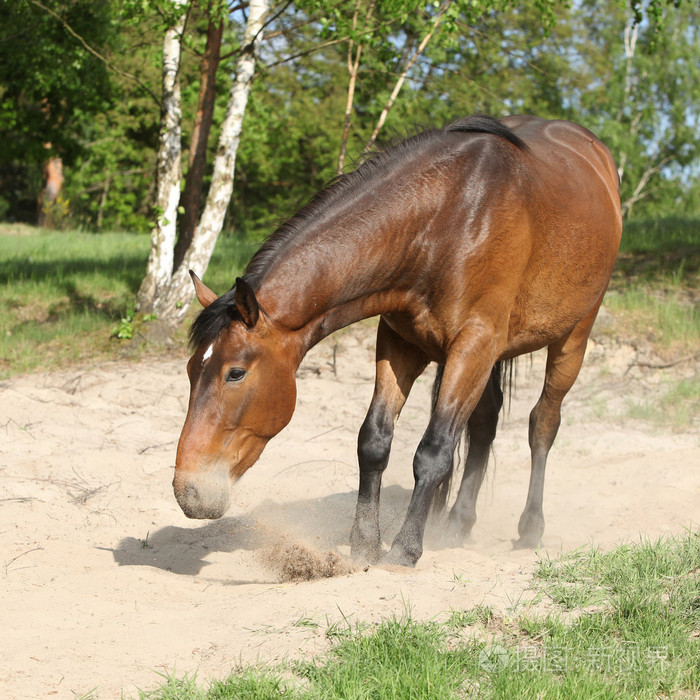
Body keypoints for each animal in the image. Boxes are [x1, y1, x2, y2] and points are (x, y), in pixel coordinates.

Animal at [174, 116, 616, 568]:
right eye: (191, 369)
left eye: (235, 373)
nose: (189, 492)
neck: (447, 220)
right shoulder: (401, 344)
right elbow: (373, 441)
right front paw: (365, 543)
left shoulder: (473, 345)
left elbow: (434, 450)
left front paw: (404, 548)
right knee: (484, 424)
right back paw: (457, 524)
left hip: (572, 338)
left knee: (542, 424)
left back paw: (530, 528)